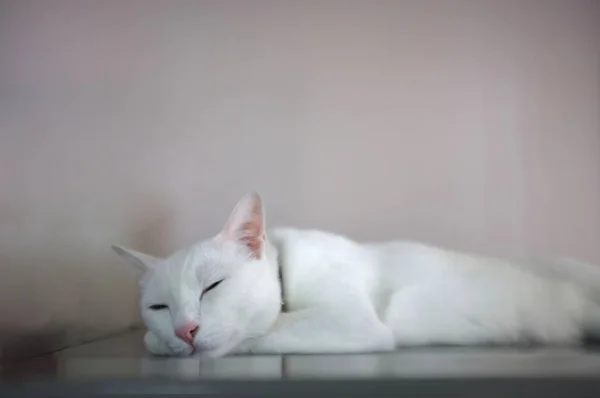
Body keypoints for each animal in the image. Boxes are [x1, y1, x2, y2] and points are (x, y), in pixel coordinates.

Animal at [111, 191, 600, 356]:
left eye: (213, 286)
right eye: (159, 306)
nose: (186, 330)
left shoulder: (350, 319)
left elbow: (264, 330)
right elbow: (148, 338)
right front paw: (163, 341)